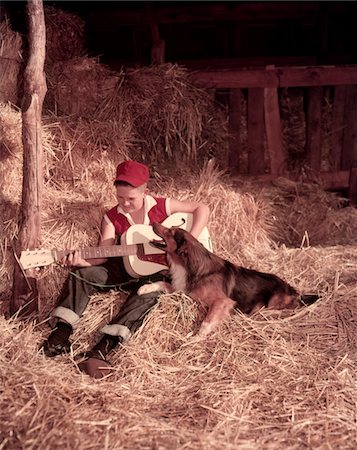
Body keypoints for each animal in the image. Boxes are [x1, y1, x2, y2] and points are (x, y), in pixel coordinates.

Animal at [138, 223, 318, 336]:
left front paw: (196, 337)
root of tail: (295, 291)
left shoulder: (223, 302)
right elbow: (162, 282)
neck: (189, 266)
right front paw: (144, 288)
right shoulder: (183, 289)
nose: (153, 222)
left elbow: (206, 323)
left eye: (170, 231)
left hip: (274, 300)